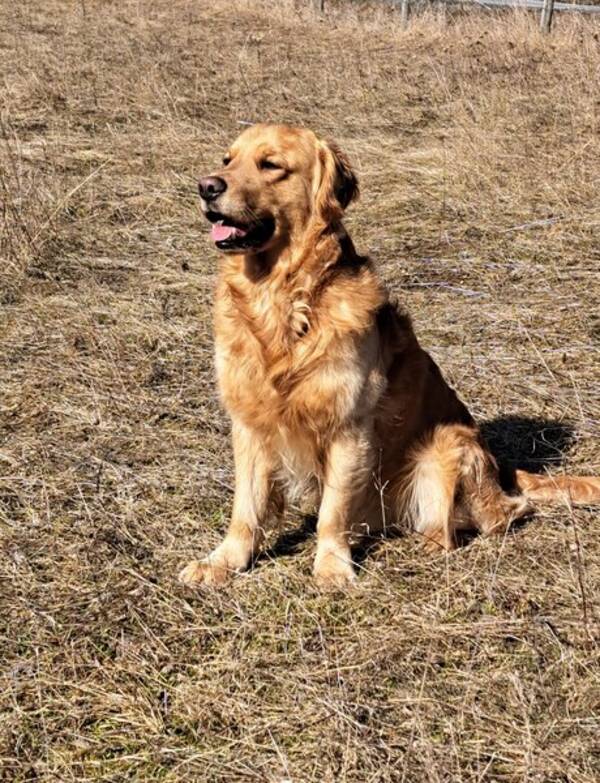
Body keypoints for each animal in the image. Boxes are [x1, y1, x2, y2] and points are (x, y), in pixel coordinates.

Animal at [178, 124, 600, 588]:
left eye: (271, 165)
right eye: (227, 160)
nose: (206, 187)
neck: (283, 301)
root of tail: (499, 465)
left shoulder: (350, 426)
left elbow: (332, 512)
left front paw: (331, 567)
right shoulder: (249, 422)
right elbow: (246, 508)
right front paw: (224, 561)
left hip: (448, 442)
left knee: (504, 512)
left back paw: (435, 542)